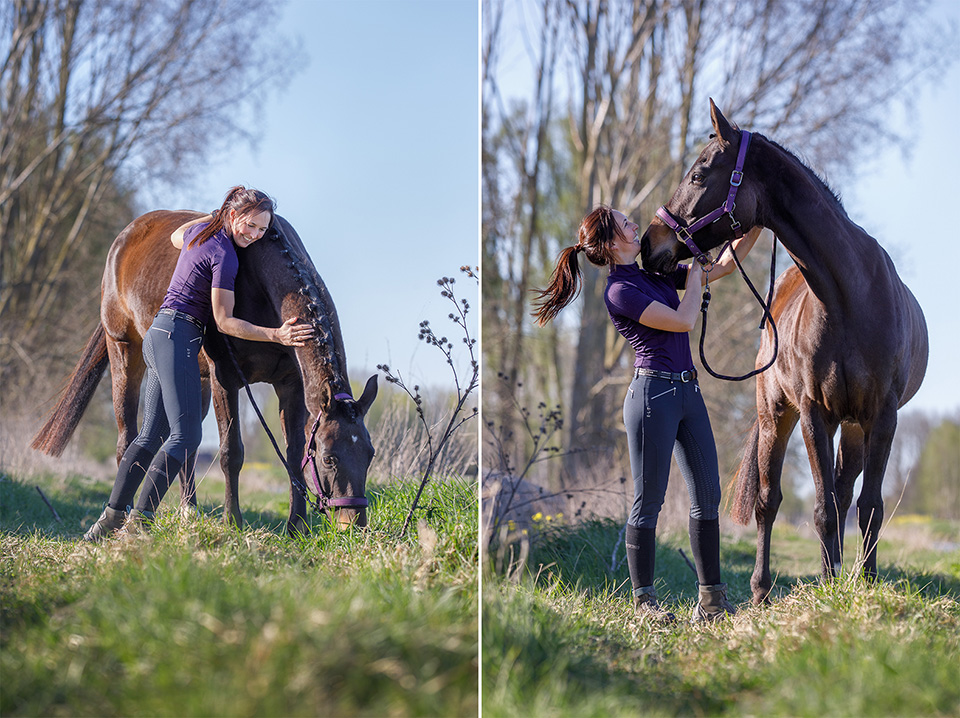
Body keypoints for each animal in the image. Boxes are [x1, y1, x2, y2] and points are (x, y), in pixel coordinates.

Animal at [31, 210, 378, 534]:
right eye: (329, 458)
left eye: (370, 454)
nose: (354, 525)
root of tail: (124, 239)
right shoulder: (226, 378)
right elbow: (231, 453)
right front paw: (233, 521)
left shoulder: (290, 385)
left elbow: (293, 456)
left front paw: (297, 528)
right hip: (125, 354)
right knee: (128, 440)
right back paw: (124, 515)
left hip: (191, 381)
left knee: (184, 442)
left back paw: (188, 512)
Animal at [641, 100, 928, 604]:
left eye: (698, 174)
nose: (648, 243)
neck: (850, 299)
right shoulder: (814, 411)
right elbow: (820, 509)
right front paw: (830, 588)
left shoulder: (882, 415)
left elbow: (869, 507)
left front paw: (864, 584)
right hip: (777, 412)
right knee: (770, 500)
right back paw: (762, 589)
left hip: (854, 426)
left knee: (844, 491)